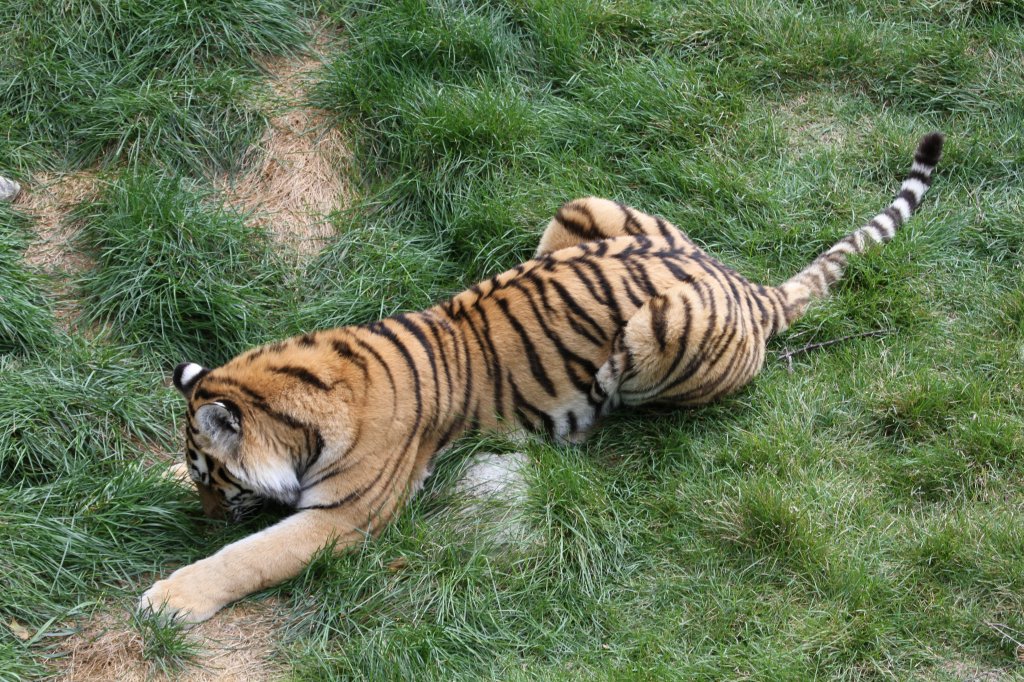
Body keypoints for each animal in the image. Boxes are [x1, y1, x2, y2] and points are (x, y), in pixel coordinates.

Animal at [138, 130, 942, 618]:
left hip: (653, 330)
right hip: (583, 206)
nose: (201, 517)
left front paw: (170, 599)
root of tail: (746, 286)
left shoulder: (339, 517)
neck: (303, 391)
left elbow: (247, 559)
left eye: (216, 480)